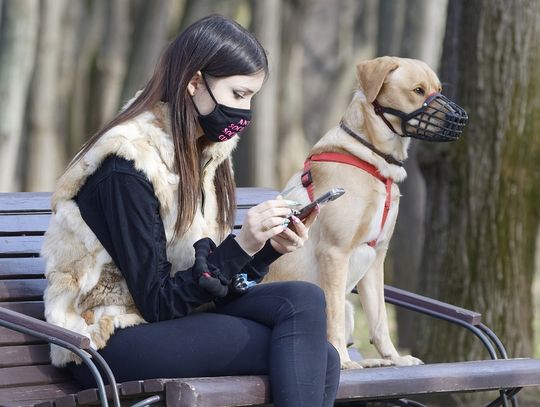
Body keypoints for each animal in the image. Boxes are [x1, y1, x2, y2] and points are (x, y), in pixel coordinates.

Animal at [264, 56, 466, 370]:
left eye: (438, 89)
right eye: (418, 90)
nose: (462, 119)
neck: (373, 160)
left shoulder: (377, 255)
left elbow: (379, 319)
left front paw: (394, 358)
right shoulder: (335, 252)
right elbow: (332, 316)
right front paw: (343, 361)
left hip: (352, 305)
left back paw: (374, 362)